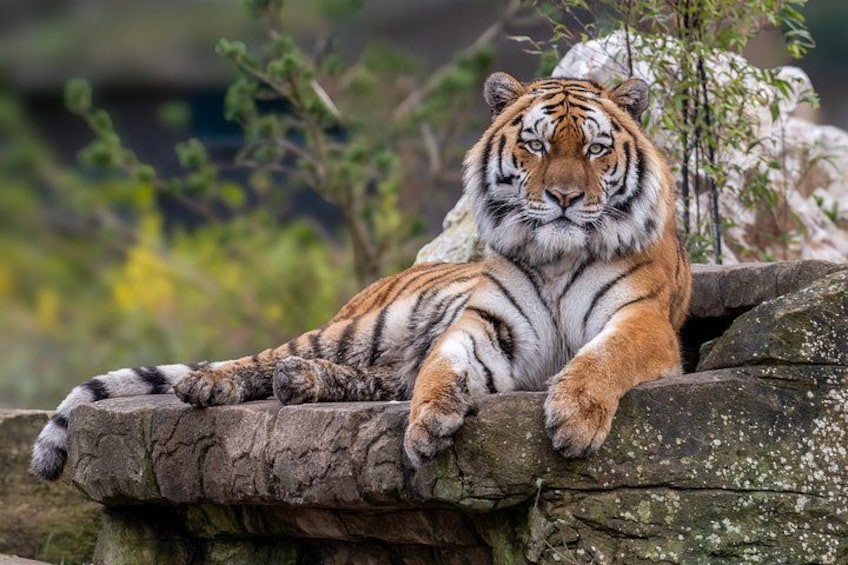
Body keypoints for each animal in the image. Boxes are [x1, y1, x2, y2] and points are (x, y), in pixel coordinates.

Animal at [31, 71, 691, 480]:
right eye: (536, 145)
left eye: (596, 150)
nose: (563, 197)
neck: (555, 257)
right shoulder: (489, 323)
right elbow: (444, 364)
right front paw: (427, 424)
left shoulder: (641, 320)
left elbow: (602, 357)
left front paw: (573, 418)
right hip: (361, 327)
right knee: (267, 357)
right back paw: (214, 384)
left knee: (375, 377)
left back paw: (301, 383)